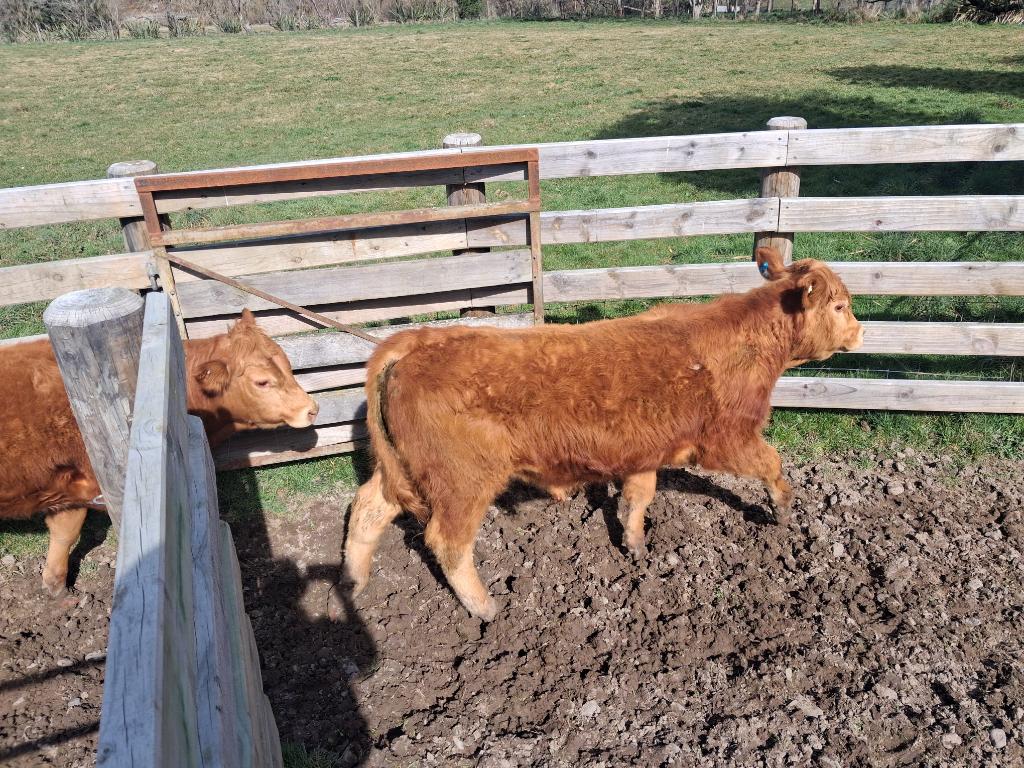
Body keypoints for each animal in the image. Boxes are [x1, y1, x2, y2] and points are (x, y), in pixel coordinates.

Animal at [0, 309, 318, 596]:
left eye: (288, 365)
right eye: (262, 381)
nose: (311, 408)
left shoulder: (70, 490)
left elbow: (64, 531)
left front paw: (55, 587)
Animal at [344, 247, 863, 621]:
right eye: (840, 305)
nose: (860, 332)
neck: (744, 345)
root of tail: (416, 341)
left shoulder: (644, 453)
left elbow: (637, 497)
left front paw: (634, 545)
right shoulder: (728, 439)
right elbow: (772, 464)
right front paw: (783, 508)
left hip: (406, 469)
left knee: (368, 507)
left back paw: (354, 581)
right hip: (462, 479)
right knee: (446, 541)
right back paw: (484, 607)